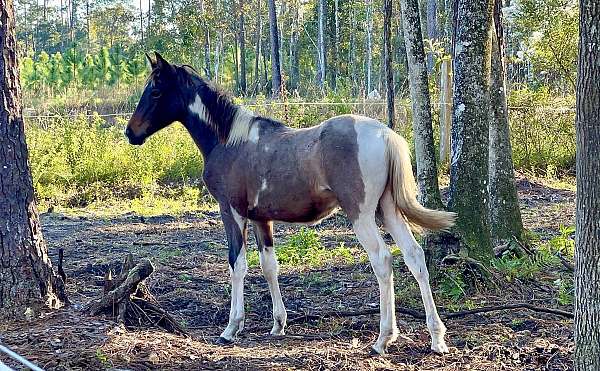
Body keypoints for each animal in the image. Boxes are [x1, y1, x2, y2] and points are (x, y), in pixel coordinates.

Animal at [126, 51, 454, 354]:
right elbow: (269, 266)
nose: (131, 132)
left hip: (361, 214)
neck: (229, 141)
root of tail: (385, 134)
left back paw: (383, 339)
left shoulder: (232, 212)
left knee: (383, 260)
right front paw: (278, 324)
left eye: (155, 91)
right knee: (414, 257)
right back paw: (436, 337)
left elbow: (237, 264)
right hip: (386, 210)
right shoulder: (261, 218)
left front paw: (231, 328)